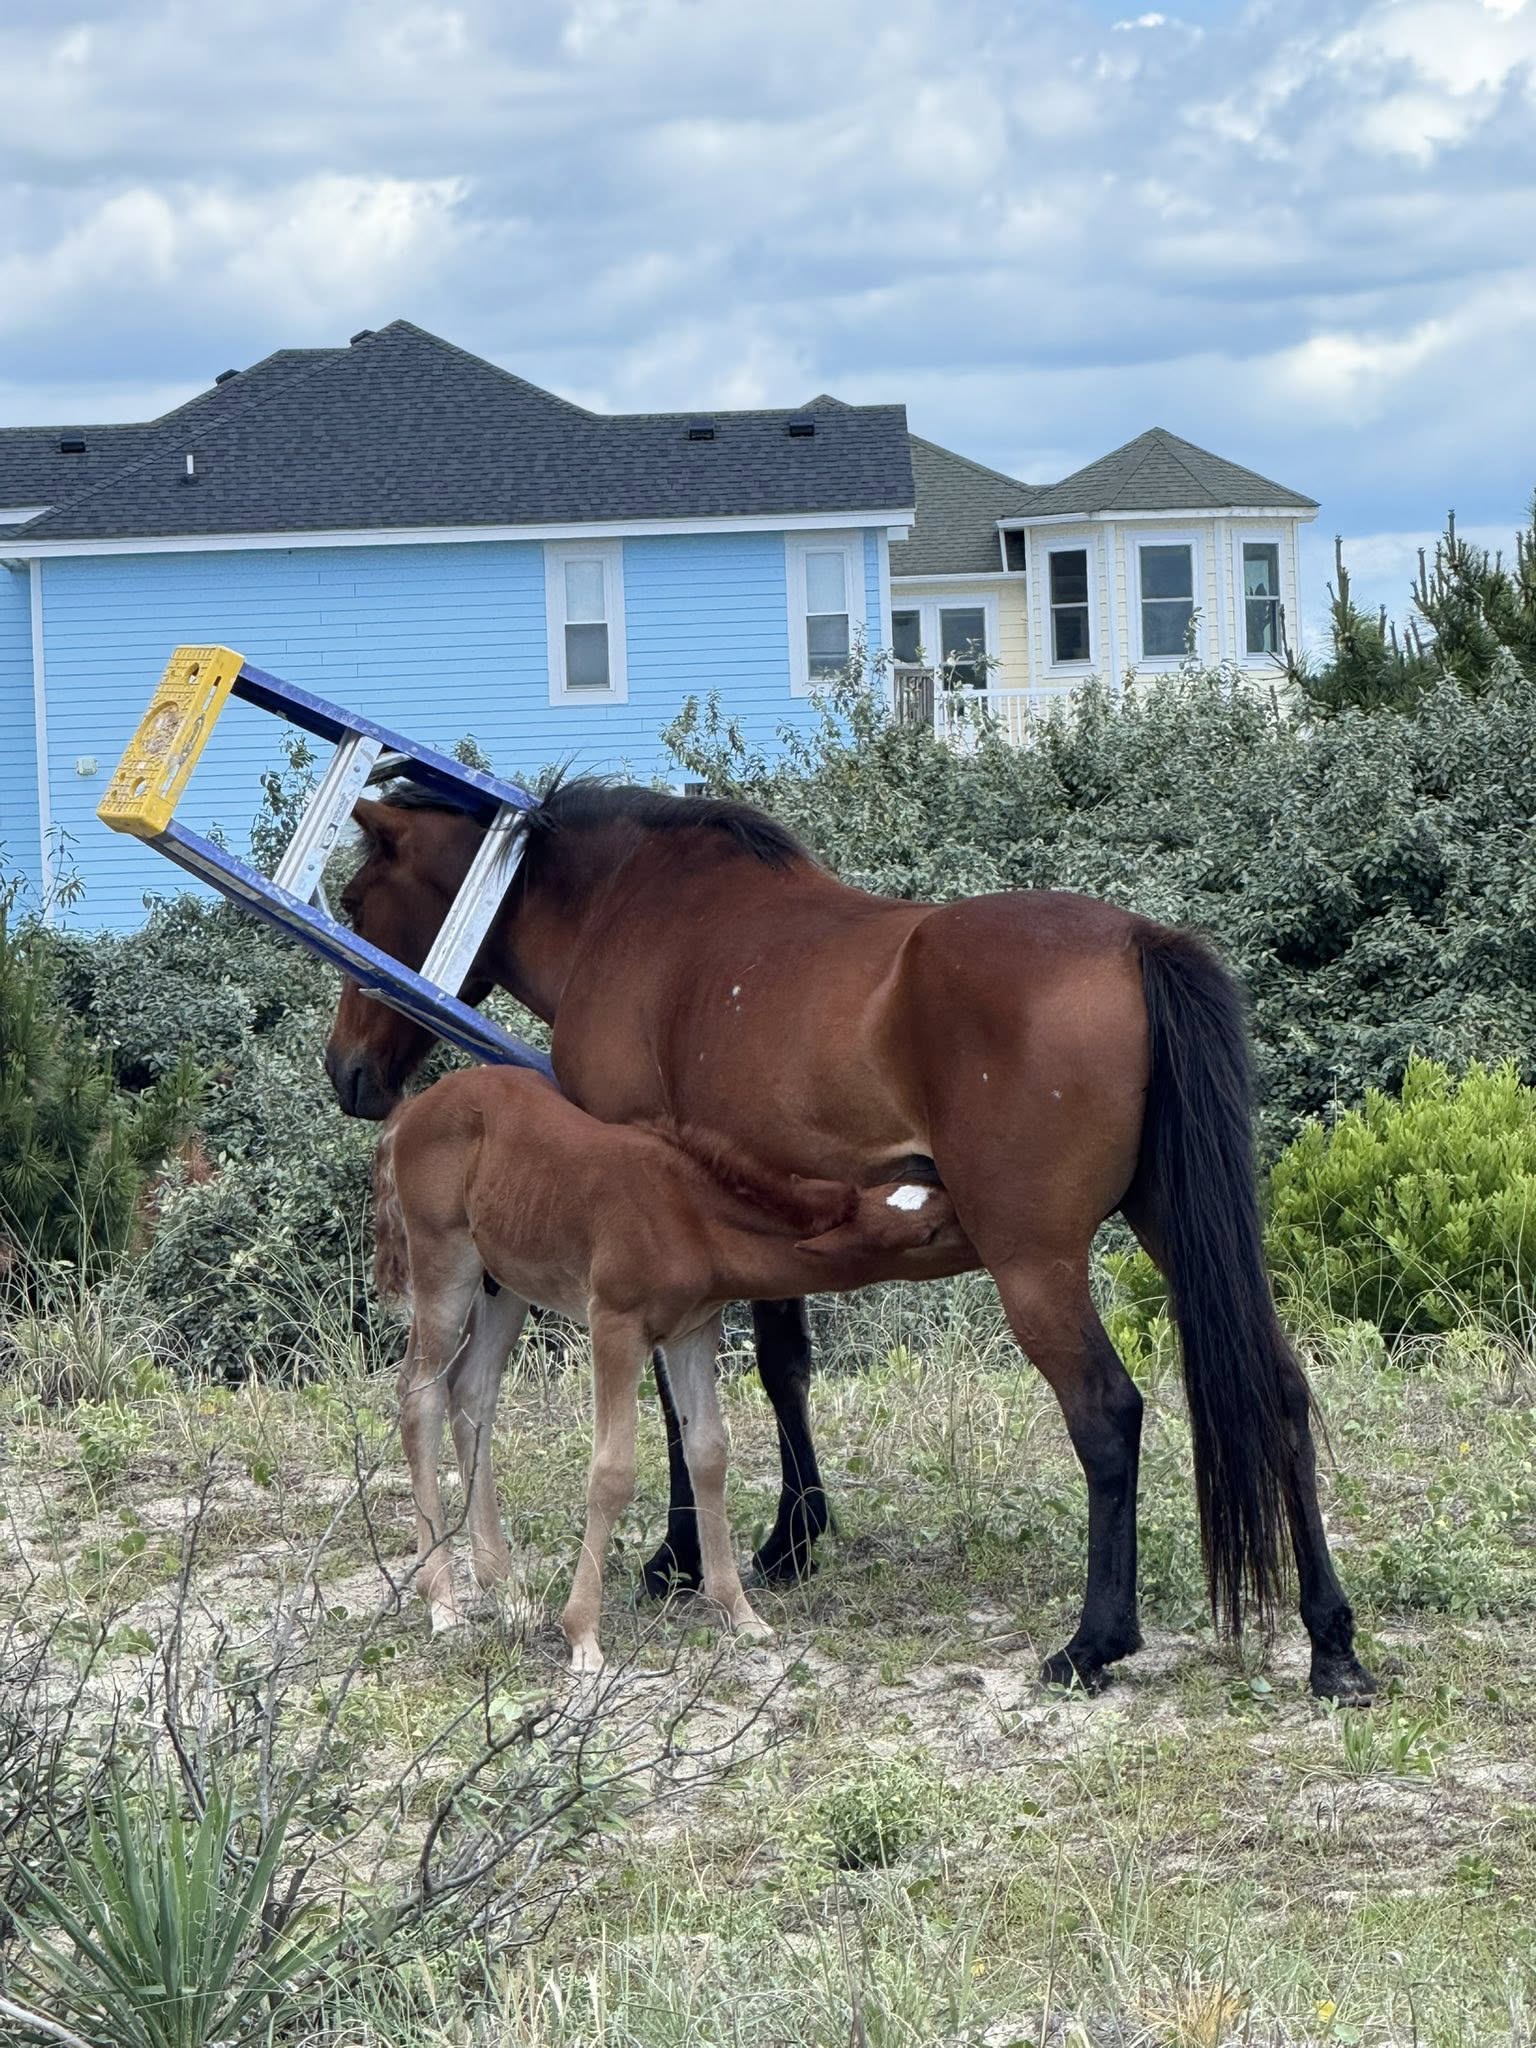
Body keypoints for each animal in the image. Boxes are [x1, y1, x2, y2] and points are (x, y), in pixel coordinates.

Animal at [371, 1062, 967, 1667]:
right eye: (928, 1232)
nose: (979, 1225)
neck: (689, 1215)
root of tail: (412, 1109)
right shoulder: (615, 1324)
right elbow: (611, 1472)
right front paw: (583, 1635)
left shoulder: (692, 1332)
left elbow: (708, 1452)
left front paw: (740, 1614)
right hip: (443, 1260)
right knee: (420, 1393)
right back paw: (444, 1604)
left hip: (506, 1283)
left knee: (472, 1391)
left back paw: (507, 1591)